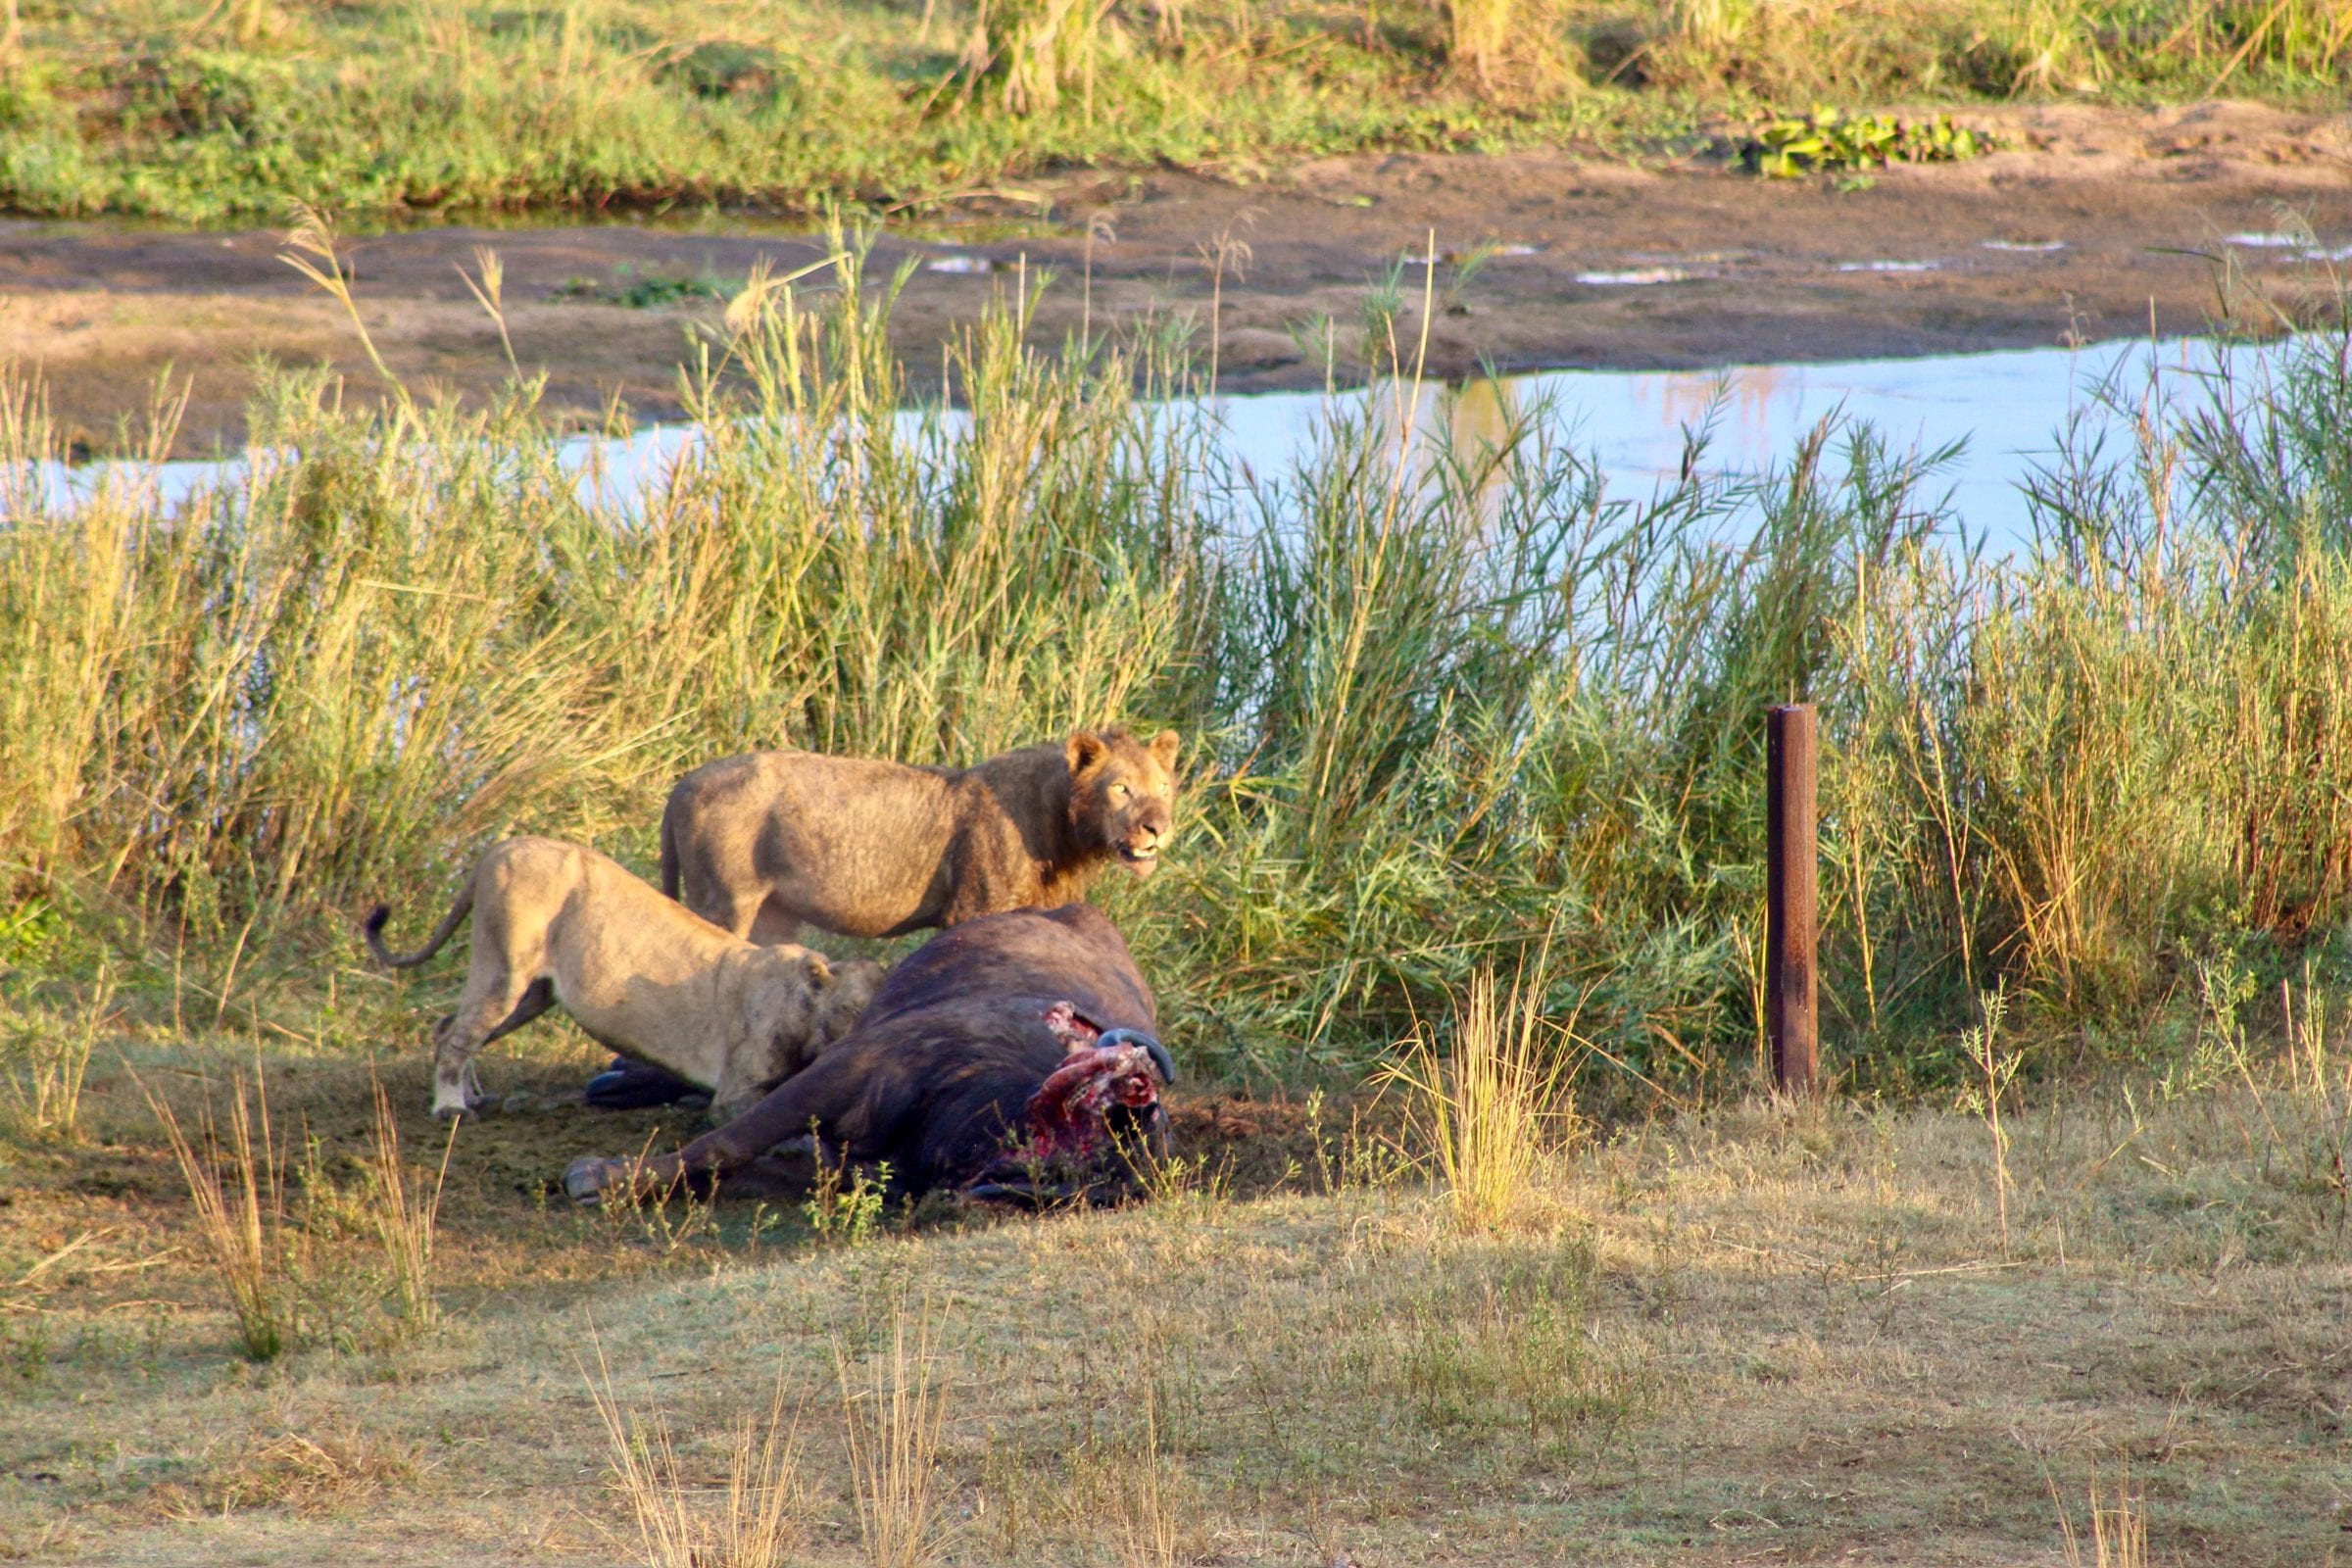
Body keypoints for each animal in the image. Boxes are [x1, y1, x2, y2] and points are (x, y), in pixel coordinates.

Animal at [363, 836, 884, 1121]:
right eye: (854, 1010)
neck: (808, 1009)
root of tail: (501, 846)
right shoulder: (735, 1091)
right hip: (505, 967)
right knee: (456, 1035)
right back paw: (450, 1108)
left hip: (534, 993)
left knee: (448, 1026)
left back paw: (472, 1095)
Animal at [658, 727, 1181, 944]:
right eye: (1120, 788)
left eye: (1162, 788)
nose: (1157, 827)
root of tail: (683, 783)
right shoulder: (972, 909)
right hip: (725, 901)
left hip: (772, 913)